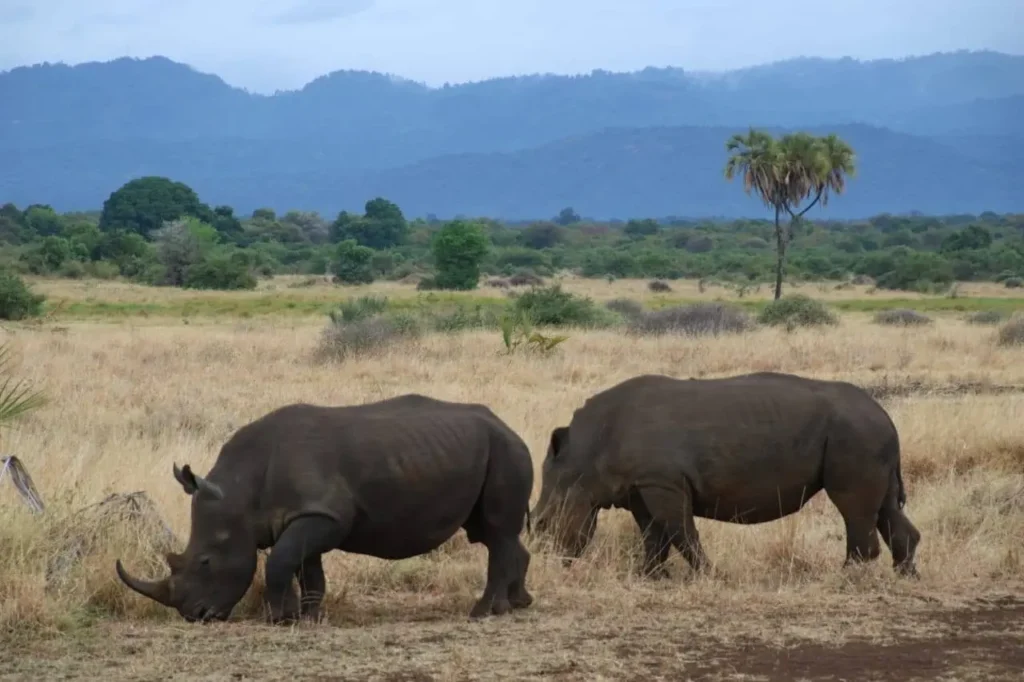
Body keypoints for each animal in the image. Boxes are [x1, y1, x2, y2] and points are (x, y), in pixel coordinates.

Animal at [115, 394, 536, 624]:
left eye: (205, 562)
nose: (195, 616)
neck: (239, 491)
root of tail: (509, 425)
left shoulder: (323, 515)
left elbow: (280, 561)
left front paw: (278, 618)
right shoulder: (307, 515)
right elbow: (305, 566)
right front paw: (308, 617)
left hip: (506, 449)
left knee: (496, 531)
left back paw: (484, 612)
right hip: (488, 449)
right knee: (492, 532)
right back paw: (518, 604)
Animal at [531, 372, 921, 578]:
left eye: (541, 523)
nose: (547, 561)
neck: (585, 455)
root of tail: (885, 415)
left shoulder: (662, 483)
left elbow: (681, 531)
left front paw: (708, 575)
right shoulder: (642, 486)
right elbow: (654, 534)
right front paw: (650, 576)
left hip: (855, 434)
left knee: (852, 506)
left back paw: (846, 577)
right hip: (867, 435)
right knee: (885, 508)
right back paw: (904, 576)